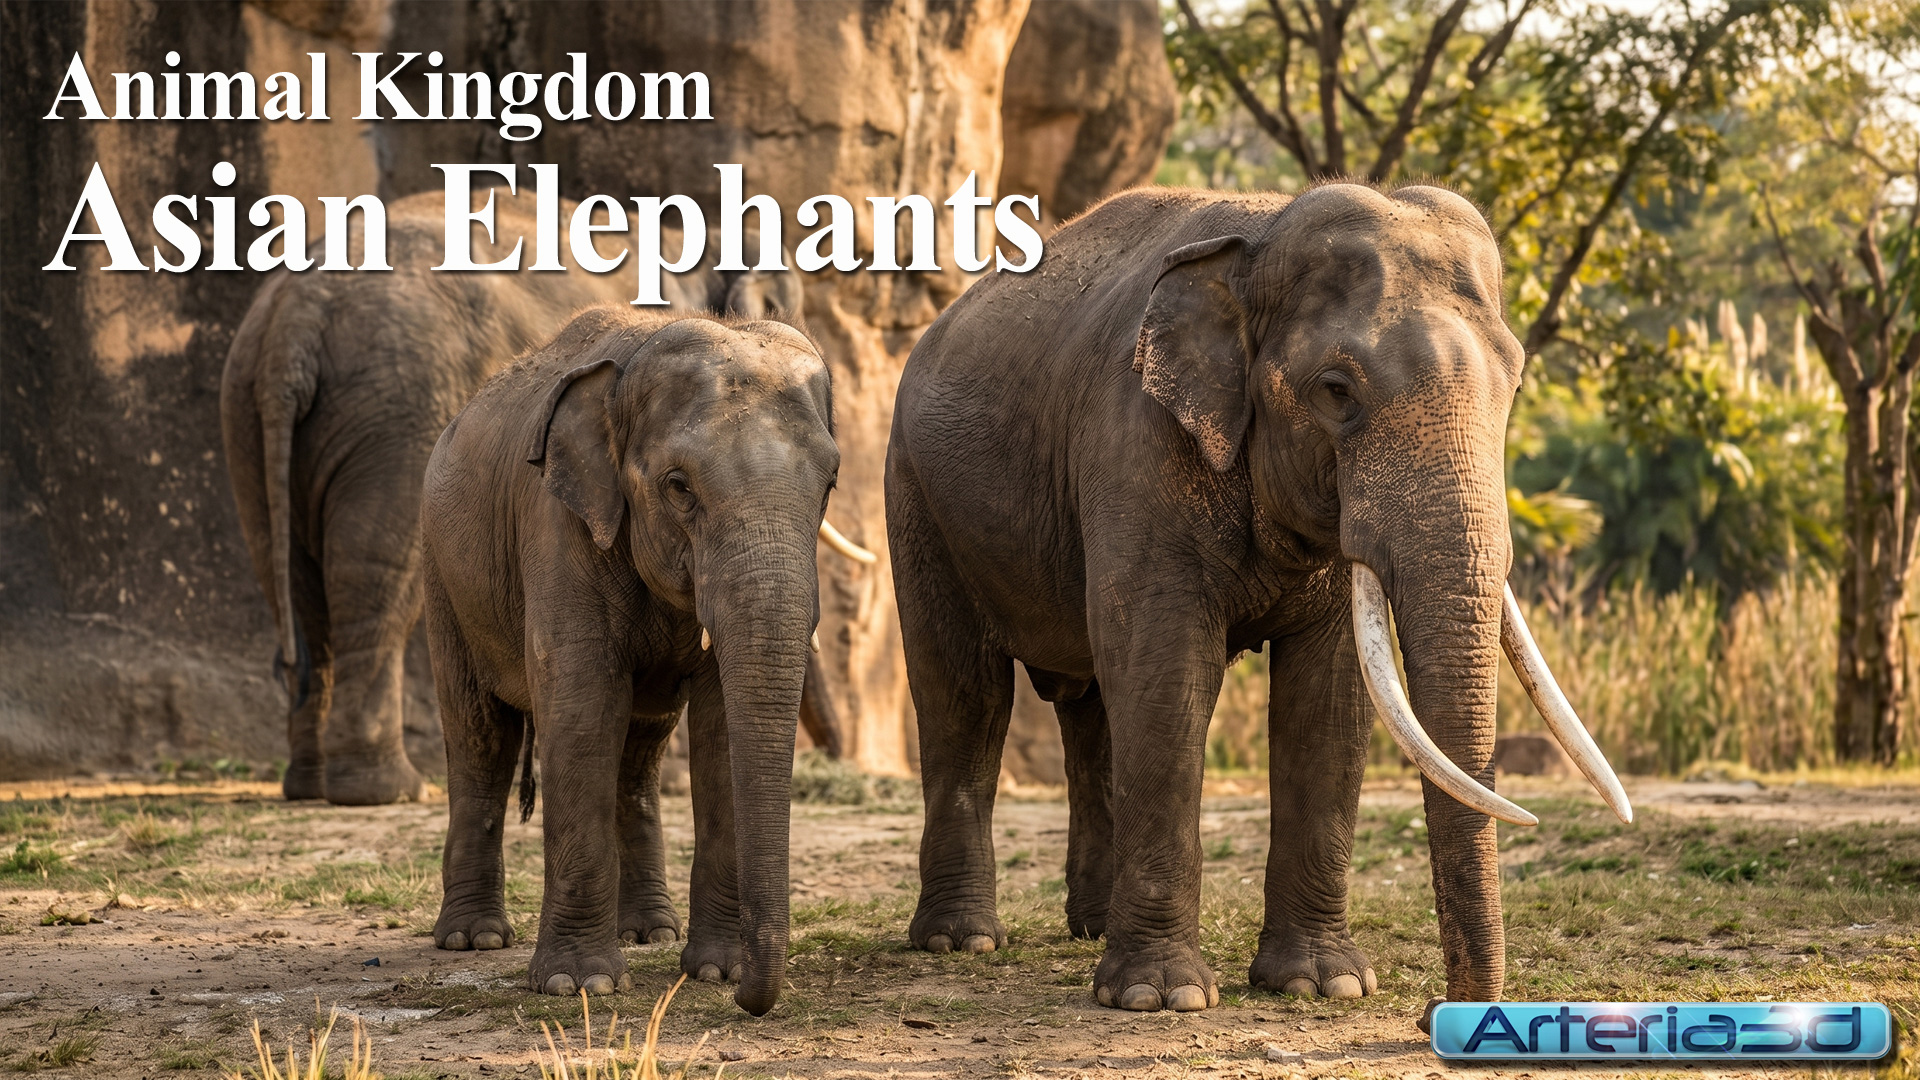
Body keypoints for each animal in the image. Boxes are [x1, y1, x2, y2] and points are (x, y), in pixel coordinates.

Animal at [220, 187, 805, 804]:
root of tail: (294, 320)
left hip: (246, 407)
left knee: (289, 576)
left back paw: (309, 784)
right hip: (397, 412)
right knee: (374, 574)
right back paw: (386, 791)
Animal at [420, 305, 838, 1015]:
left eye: (830, 482)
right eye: (678, 486)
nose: (748, 1002)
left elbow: (721, 730)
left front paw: (716, 971)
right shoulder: (557, 525)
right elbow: (582, 711)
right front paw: (578, 984)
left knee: (639, 750)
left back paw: (648, 933)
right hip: (443, 574)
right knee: (480, 735)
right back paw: (473, 940)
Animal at [884, 183, 1631, 1015]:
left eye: (1516, 385)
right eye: (1336, 392)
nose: (1444, 1010)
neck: (1263, 233)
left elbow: (1327, 697)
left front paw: (1324, 984)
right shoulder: (1136, 445)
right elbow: (1169, 673)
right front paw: (1161, 999)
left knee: (1092, 707)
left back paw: (1088, 928)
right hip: (915, 492)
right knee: (965, 693)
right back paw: (961, 941)